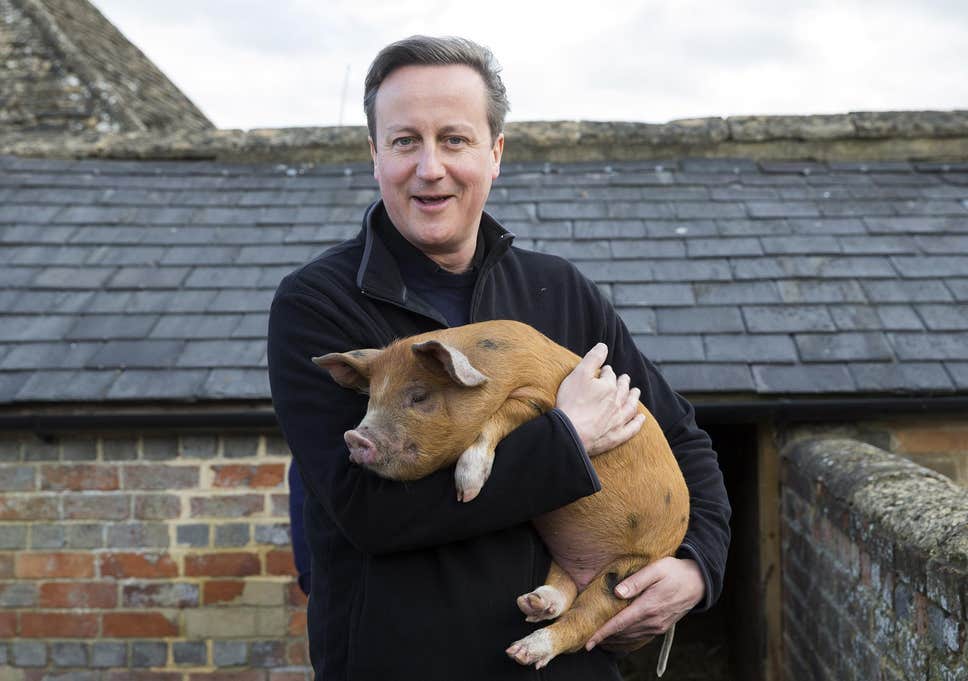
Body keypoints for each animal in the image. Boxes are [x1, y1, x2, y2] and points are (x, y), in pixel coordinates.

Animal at [313, 319, 690, 674]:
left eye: (418, 396)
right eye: (372, 399)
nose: (354, 438)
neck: (494, 370)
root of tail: (671, 548)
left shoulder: (536, 398)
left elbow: (498, 418)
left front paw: (466, 492)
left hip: (630, 570)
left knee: (584, 620)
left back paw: (522, 651)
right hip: (574, 550)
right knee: (563, 588)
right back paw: (532, 604)